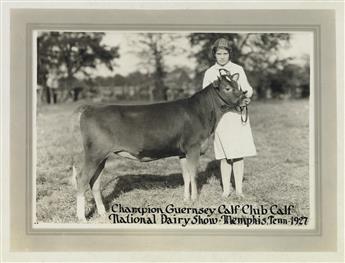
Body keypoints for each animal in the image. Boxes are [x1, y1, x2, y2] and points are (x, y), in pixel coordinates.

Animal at [71, 69, 246, 221]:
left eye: (238, 86)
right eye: (228, 88)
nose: (245, 98)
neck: (202, 113)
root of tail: (90, 108)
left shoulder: (182, 152)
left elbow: (186, 176)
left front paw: (186, 199)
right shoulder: (193, 148)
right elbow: (194, 175)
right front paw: (195, 200)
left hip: (102, 156)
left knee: (94, 182)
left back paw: (102, 213)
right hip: (94, 154)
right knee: (82, 178)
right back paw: (81, 217)